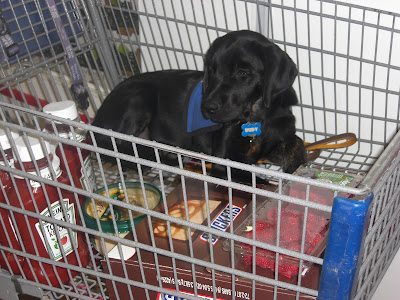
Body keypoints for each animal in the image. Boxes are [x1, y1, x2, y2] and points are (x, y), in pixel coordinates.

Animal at [92, 29, 308, 182]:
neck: (258, 116)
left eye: (243, 72)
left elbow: (297, 144)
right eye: (212, 70)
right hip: (139, 96)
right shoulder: (224, 160)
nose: (207, 107)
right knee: (113, 144)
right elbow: (260, 182)